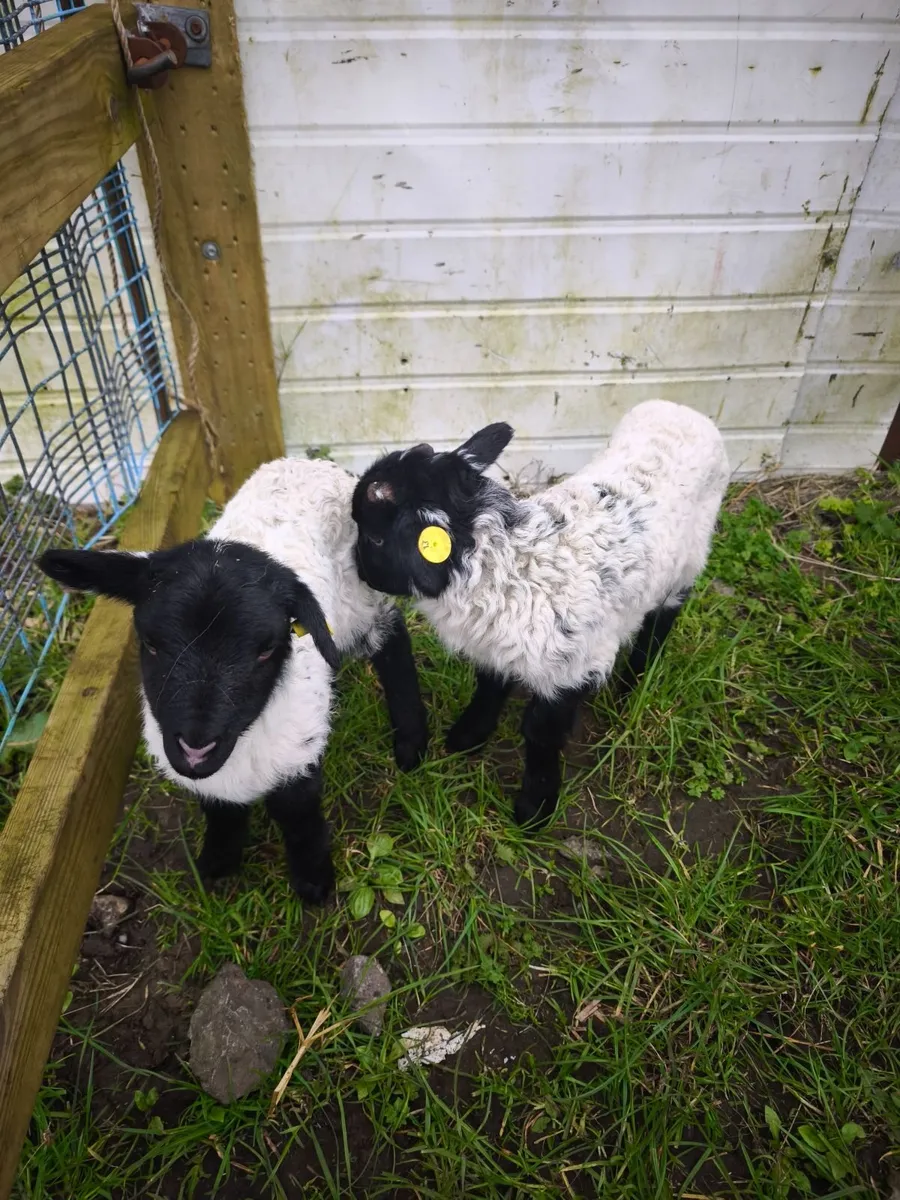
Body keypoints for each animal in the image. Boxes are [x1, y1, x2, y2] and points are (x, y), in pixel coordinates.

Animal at [39, 456, 429, 904]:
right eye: (149, 643)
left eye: (266, 649)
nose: (195, 745)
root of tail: (311, 461)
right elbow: (220, 813)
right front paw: (217, 865)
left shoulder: (297, 752)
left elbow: (297, 816)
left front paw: (314, 883)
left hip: (361, 599)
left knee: (392, 640)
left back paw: (410, 741)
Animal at [351, 400, 731, 828]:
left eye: (374, 537)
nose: (359, 572)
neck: (504, 562)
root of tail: (683, 410)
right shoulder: (496, 643)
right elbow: (489, 685)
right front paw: (467, 736)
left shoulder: (572, 668)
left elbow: (540, 733)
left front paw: (535, 808)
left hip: (690, 558)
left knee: (663, 617)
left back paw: (633, 683)